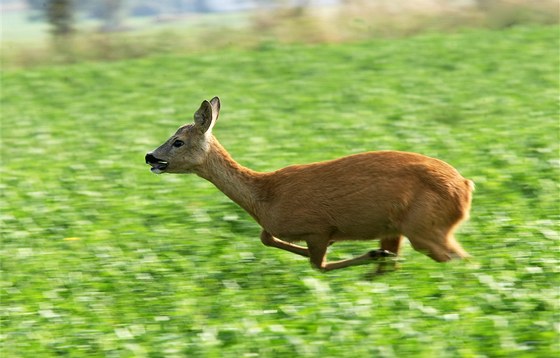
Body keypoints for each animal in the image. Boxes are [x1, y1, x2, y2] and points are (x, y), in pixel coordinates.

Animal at [144, 96, 472, 272]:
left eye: (178, 141)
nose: (150, 156)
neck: (264, 196)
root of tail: (466, 186)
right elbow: (266, 237)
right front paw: (376, 259)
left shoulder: (318, 228)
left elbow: (318, 264)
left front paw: (371, 256)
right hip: (402, 228)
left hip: (424, 226)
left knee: (463, 259)